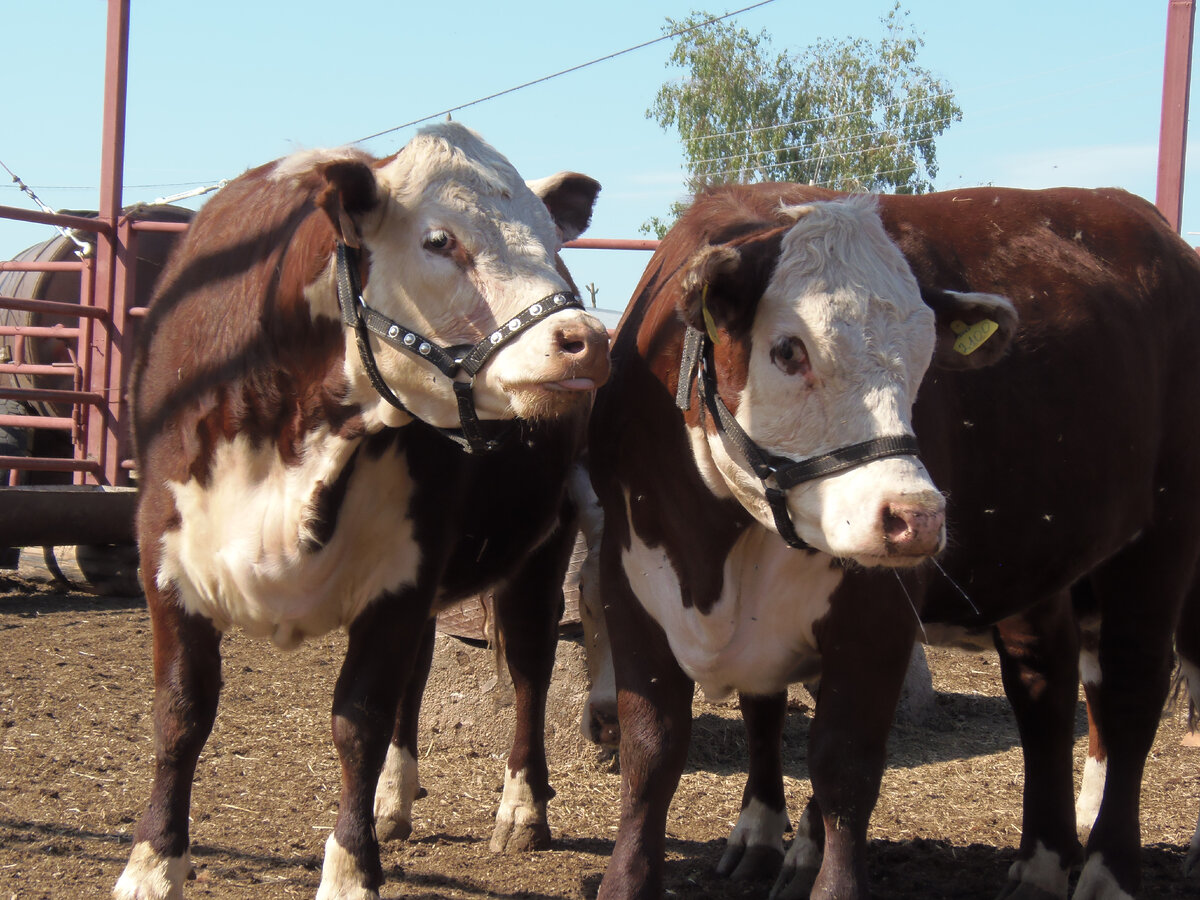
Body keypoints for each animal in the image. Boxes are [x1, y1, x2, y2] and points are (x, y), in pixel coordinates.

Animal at [112, 123, 609, 900]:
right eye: (439, 240)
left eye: (548, 240)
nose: (587, 338)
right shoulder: (164, 558)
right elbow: (180, 710)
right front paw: (152, 863)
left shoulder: (401, 575)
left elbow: (358, 720)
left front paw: (350, 870)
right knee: (422, 673)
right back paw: (391, 803)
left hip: (541, 548)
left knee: (529, 666)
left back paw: (521, 809)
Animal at [585, 184, 1200, 900]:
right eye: (788, 350)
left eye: (927, 358)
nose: (918, 518)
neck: (716, 556)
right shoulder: (631, 584)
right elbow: (658, 747)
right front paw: (729, 850)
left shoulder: (876, 613)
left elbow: (844, 763)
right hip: (1042, 568)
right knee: (1046, 683)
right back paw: (1043, 861)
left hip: (1162, 540)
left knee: (1131, 692)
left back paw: (1107, 873)